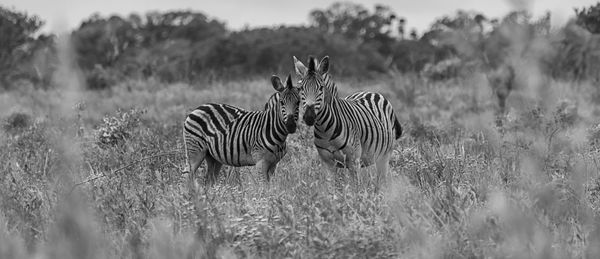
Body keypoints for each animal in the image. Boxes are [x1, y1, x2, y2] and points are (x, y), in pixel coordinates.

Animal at [292, 55, 400, 192]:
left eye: (321, 88)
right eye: (300, 88)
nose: (309, 116)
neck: (325, 130)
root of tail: (370, 92)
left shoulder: (353, 162)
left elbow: (355, 190)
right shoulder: (327, 163)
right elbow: (331, 190)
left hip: (384, 156)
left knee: (381, 181)